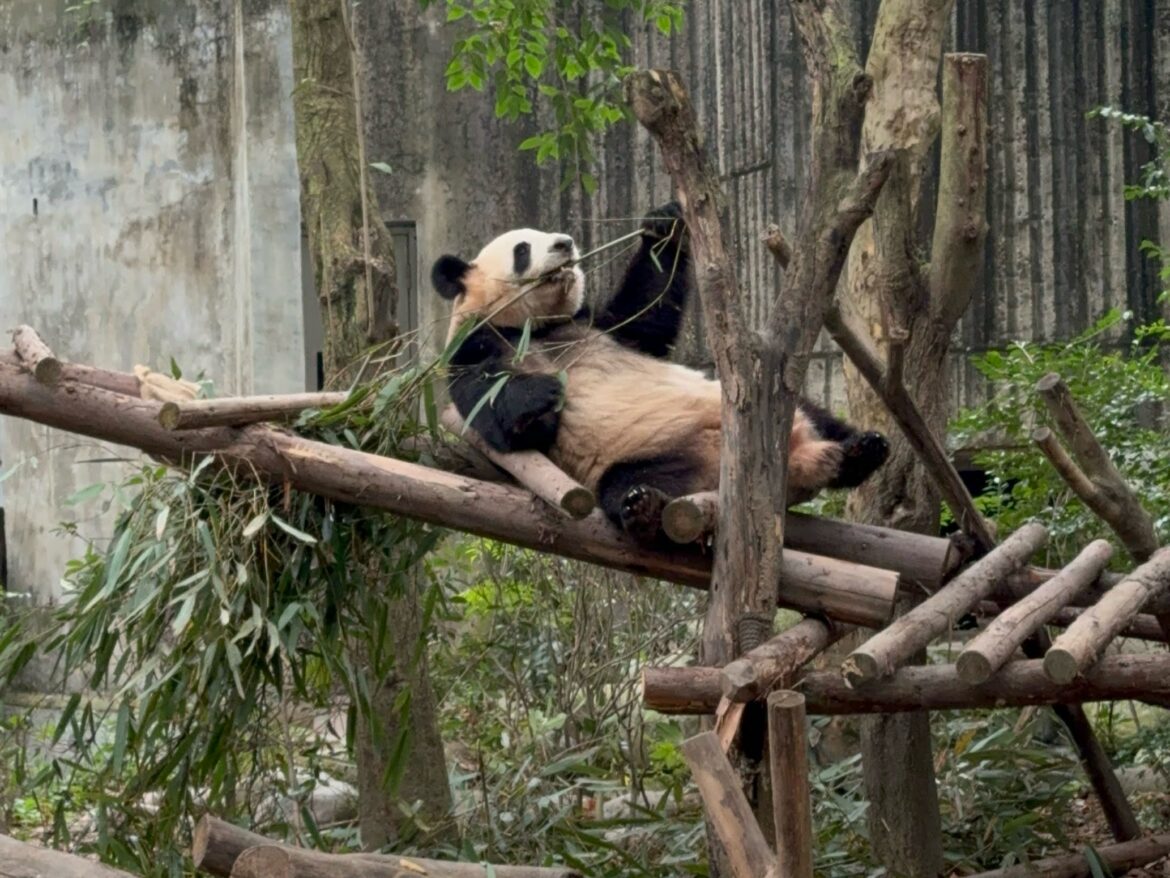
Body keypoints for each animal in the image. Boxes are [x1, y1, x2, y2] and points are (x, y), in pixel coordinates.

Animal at [431, 203, 890, 545]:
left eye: (551, 235)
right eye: (523, 249)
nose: (565, 243)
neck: (536, 327)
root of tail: (796, 463)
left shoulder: (598, 324)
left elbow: (646, 313)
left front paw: (663, 224)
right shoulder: (475, 348)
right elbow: (506, 420)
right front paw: (542, 392)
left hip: (775, 415)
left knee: (820, 416)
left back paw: (863, 449)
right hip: (656, 455)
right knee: (625, 483)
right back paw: (644, 506)